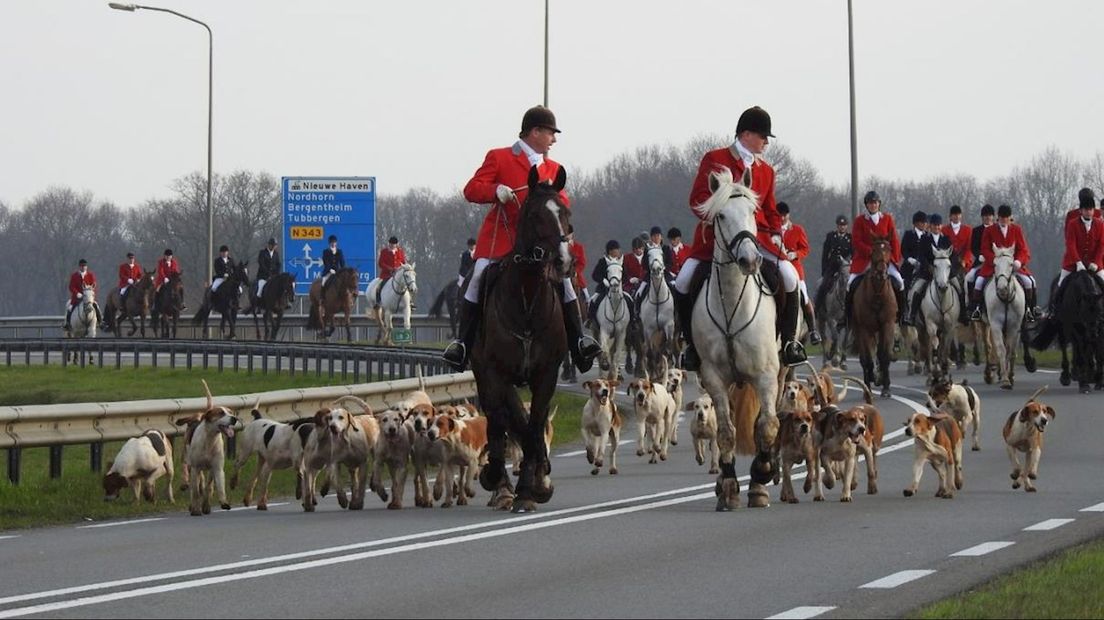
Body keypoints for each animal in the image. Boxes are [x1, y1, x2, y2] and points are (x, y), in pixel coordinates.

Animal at [635, 243, 675, 379]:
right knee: (650, 352)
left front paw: (667, 370)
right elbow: (651, 353)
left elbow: (668, 349)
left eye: (662, 253)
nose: (657, 269)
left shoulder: (669, 326)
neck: (658, 297)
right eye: (648, 255)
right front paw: (654, 374)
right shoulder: (648, 330)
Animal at [693, 166, 781, 509]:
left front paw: (761, 475)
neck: (732, 304)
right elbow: (726, 432)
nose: (750, 261)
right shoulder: (714, 377)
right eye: (721, 216)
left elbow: (767, 427)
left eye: (753, 211)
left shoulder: (766, 374)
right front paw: (730, 487)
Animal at [852, 233, 896, 392]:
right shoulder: (865, 328)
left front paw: (886, 387)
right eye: (873, 250)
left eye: (889, 249)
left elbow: (884, 356)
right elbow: (868, 359)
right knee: (864, 358)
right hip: (859, 330)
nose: (881, 273)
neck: (877, 294)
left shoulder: (888, 325)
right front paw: (871, 380)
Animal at [984, 244, 1024, 386]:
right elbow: (1001, 350)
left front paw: (1009, 376)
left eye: (1011, 264)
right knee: (989, 346)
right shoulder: (995, 325)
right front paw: (1005, 379)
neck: (1005, 299)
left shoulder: (1014, 326)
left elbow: (1010, 350)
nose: (1002, 288)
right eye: (995, 264)